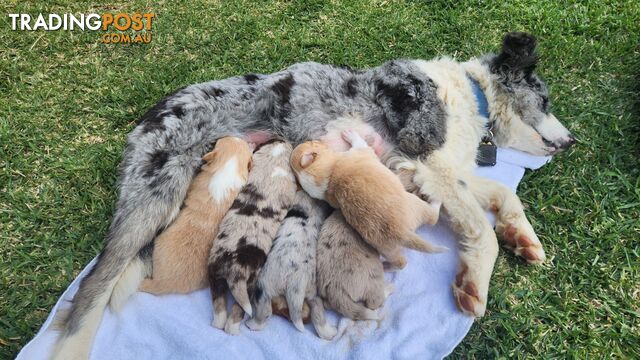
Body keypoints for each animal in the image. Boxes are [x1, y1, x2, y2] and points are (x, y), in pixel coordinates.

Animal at [210, 140, 300, 334]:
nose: (283, 139)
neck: (273, 160)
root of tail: (234, 269)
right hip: (250, 284)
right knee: (238, 310)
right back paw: (234, 328)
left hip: (214, 273)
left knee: (219, 305)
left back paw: (218, 323)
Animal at [245, 190, 338, 338]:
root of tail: (295, 285)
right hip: (311, 291)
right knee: (317, 310)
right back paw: (330, 332)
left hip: (264, 285)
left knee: (264, 312)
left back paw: (251, 324)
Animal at [292, 130, 444, 270]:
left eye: (311, 142)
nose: (314, 139)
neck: (327, 175)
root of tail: (400, 233)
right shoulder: (360, 150)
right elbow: (359, 142)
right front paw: (350, 134)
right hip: (416, 205)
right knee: (432, 218)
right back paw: (436, 200)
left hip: (386, 248)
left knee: (400, 262)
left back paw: (385, 265)